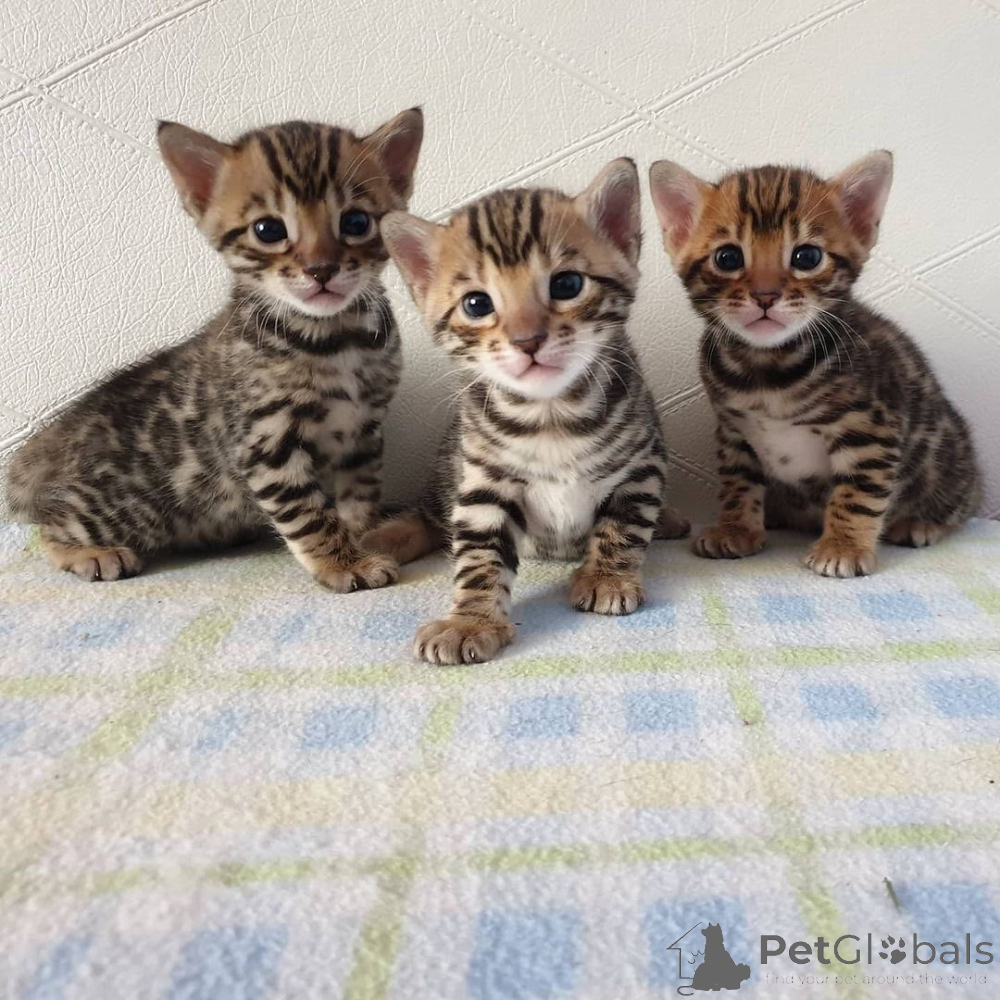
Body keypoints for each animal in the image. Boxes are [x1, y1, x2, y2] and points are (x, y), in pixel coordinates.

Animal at [6, 109, 423, 590]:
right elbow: (307, 513)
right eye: (268, 230)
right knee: (51, 524)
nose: (321, 269)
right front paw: (342, 562)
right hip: (132, 507)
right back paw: (90, 552)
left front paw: (363, 537)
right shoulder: (266, 441)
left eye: (356, 223)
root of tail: (61, 438)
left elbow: (359, 497)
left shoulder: (363, 433)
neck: (335, 340)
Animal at [363, 159, 689, 665]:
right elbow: (478, 558)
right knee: (428, 519)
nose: (527, 340)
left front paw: (607, 576)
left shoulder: (642, 466)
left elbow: (624, 525)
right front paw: (470, 621)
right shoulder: (484, 485)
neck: (551, 414)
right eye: (476, 304)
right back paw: (376, 542)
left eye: (567, 284)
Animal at [648, 151, 981, 577]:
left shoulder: (871, 428)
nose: (765, 296)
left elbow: (858, 491)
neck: (767, 369)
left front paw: (844, 546)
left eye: (806, 257)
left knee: (959, 503)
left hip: (946, 456)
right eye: (727, 257)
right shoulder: (734, 432)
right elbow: (738, 483)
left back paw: (921, 522)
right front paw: (737, 528)